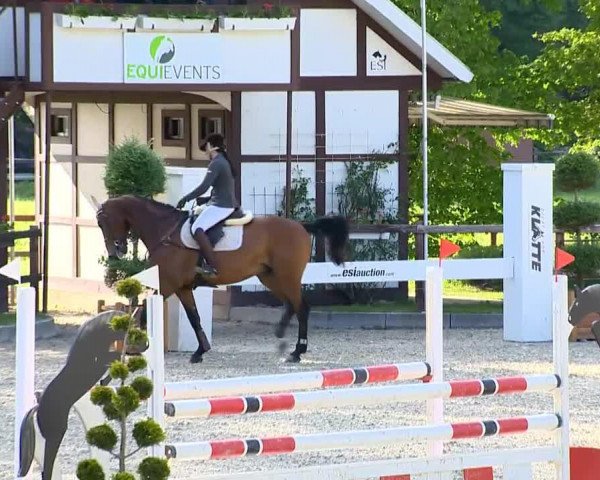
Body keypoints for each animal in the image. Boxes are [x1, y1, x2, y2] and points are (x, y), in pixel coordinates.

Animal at [92, 195, 346, 364]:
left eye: (103, 222)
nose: (115, 253)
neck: (165, 231)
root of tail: (301, 226)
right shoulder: (182, 287)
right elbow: (193, 317)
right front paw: (200, 351)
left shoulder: (167, 284)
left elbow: (143, 312)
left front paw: (134, 346)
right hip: (270, 277)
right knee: (292, 305)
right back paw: (282, 335)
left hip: (287, 276)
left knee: (302, 307)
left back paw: (297, 351)